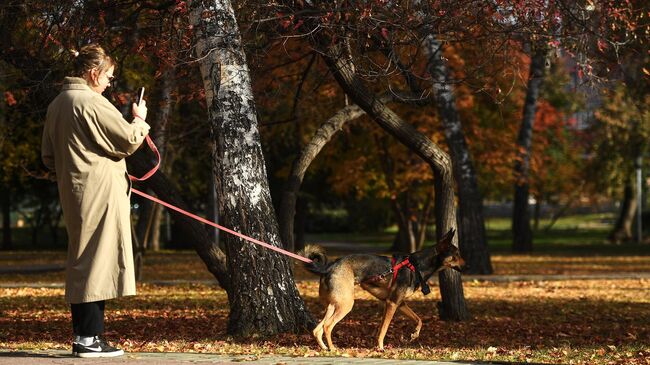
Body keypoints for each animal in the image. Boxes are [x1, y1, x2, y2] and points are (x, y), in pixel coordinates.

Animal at [302, 228, 460, 350]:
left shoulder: (399, 304)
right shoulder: (392, 303)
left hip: (333, 304)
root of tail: (329, 267)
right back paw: (333, 348)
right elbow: (384, 329)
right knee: (327, 326)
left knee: (317, 329)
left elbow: (418, 319)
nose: (466, 266)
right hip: (345, 304)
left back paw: (324, 348)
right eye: (456, 255)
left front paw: (414, 334)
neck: (417, 265)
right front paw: (380, 347)